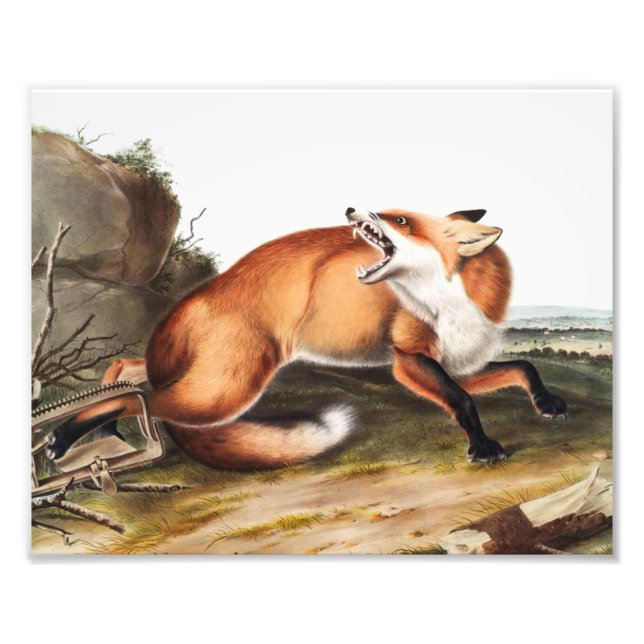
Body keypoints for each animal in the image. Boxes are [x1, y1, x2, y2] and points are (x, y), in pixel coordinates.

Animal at [46, 207, 567, 468]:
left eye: (401, 220)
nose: (352, 207)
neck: (451, 297)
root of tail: (200, 296)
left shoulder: (454, 363)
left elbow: (520, 367)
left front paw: (546, 403)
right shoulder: (408, 358)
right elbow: (463, 400)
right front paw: (483, 447)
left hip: (206, 381)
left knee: (126, 374)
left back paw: (104, 432)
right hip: (228, 387)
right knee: (140, 398)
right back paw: (68, 434)